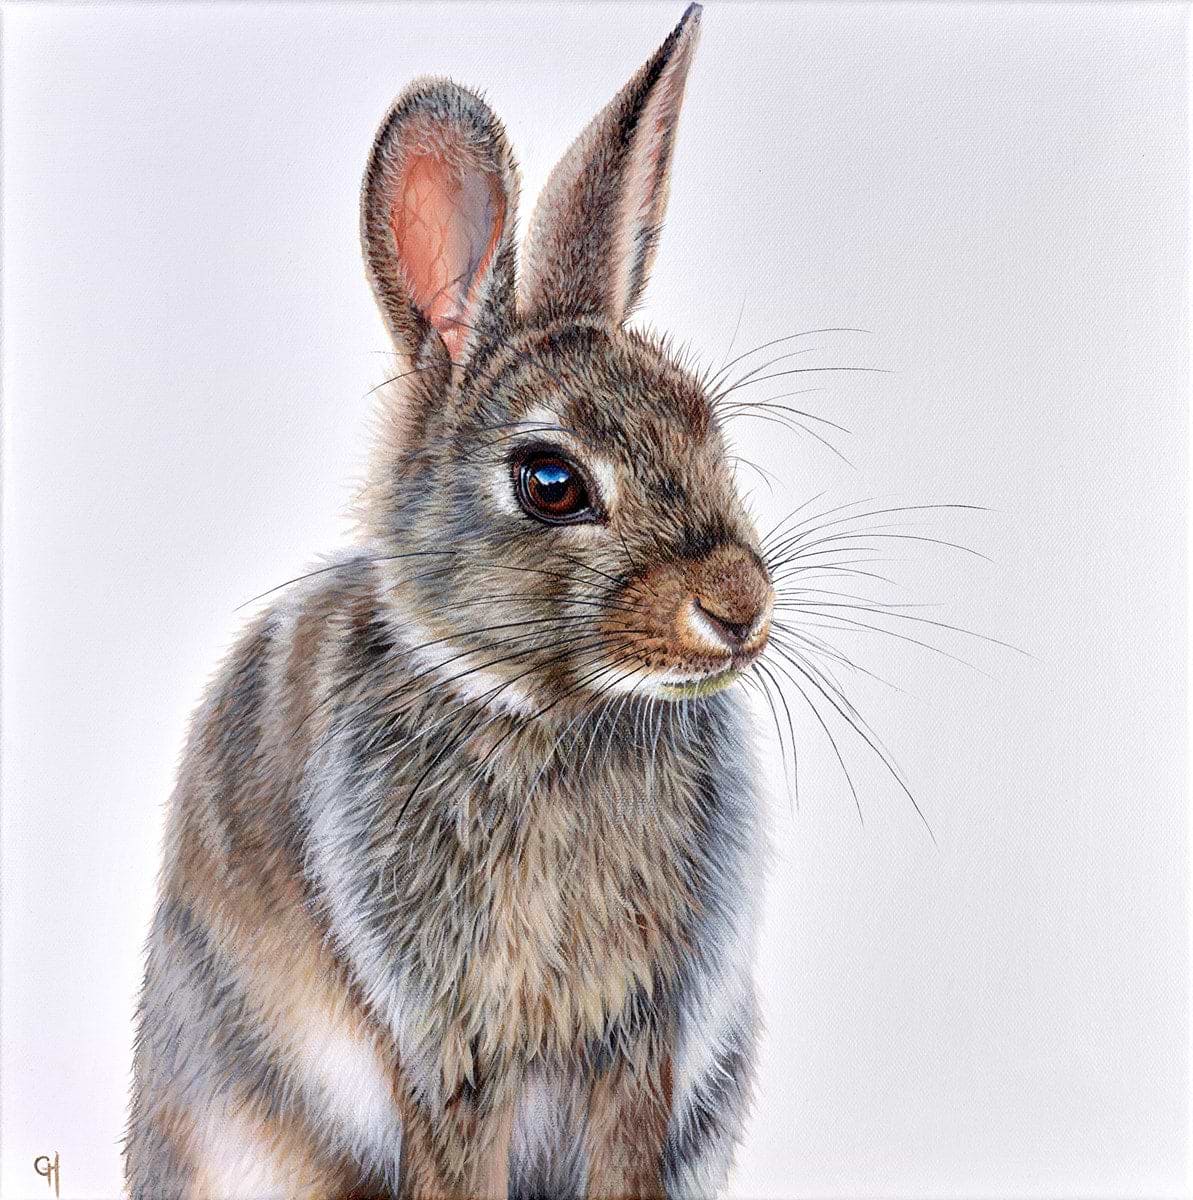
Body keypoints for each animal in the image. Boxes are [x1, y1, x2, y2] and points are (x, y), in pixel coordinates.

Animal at [124, 5, 772, 1197]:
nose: (739, 607)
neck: (550, 714)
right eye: (550, 482)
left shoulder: (642, 1041)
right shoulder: (447, 1036)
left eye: (705, 425)